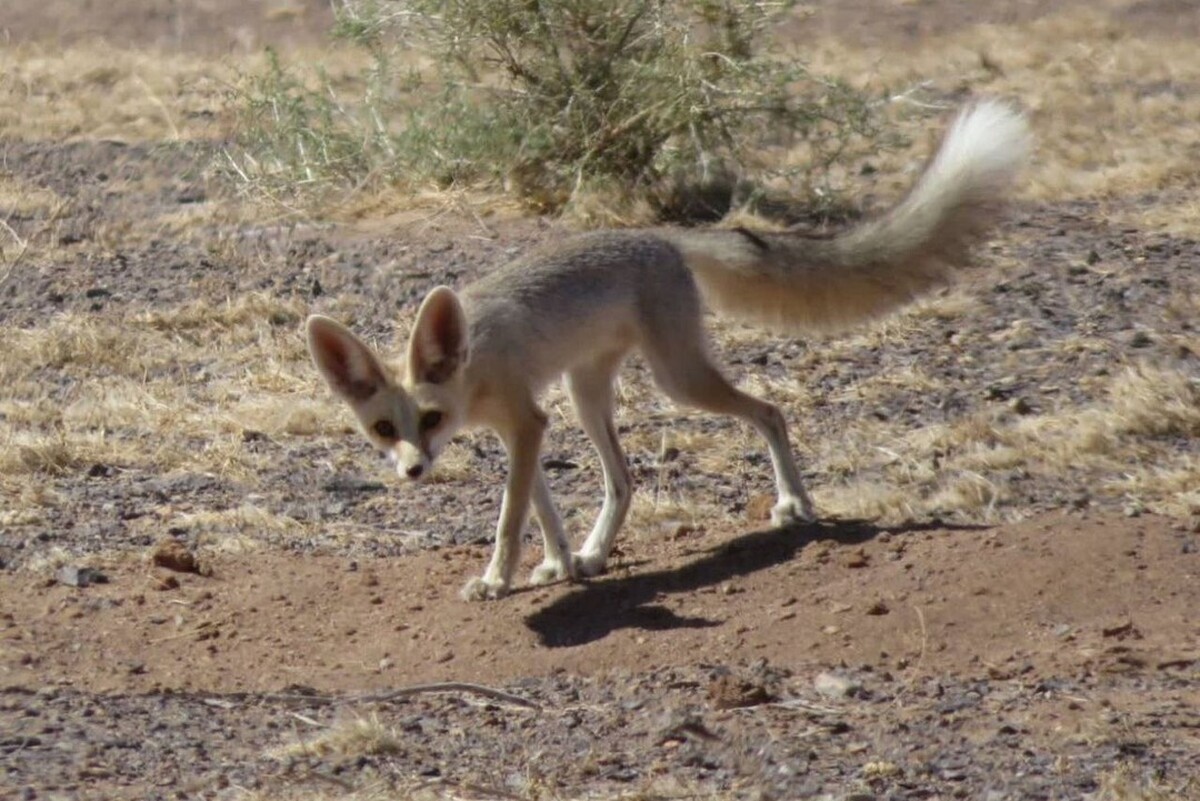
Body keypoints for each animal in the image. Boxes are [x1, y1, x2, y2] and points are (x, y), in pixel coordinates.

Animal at [304, 100, 1027, 597]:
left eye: (429, 419)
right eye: (383, 428)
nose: (412, 470)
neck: (473, 363)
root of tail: (660, 236)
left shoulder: (526, 422)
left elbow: (511, 516)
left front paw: (496, 580)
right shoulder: (530, 426)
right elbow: (541, 507)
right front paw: (560, 563)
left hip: (679, 381)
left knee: (769, 411)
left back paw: (794, 506)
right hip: (586, 393)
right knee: (625, 480)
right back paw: (594, 554)